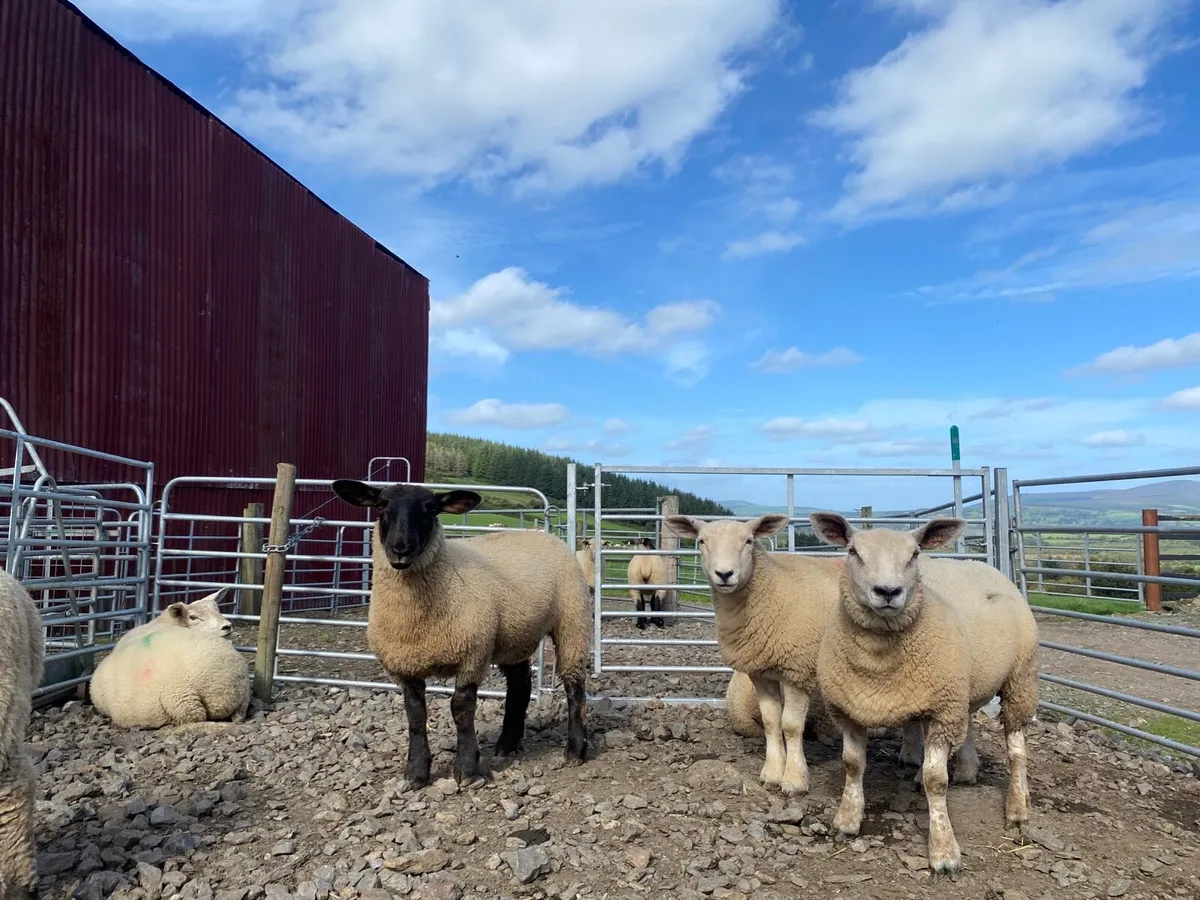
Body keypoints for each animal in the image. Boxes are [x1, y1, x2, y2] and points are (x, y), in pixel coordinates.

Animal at [331, 479, 591, 787]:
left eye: (430, 509)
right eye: (382, 505)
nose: (400, 548)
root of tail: (545, 535)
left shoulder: (472, 654)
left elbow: (461, 710)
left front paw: (466, 769)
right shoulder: (405, 665)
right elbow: (415, 716)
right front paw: (416, 772)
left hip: (572, 619)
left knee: (574, 685)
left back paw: (575, 749)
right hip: (514, 634)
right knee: (520, 685)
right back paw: (507, 743)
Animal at [663, 514, 845, 794]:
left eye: (749, 540)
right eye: (702, 541)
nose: (724, 574)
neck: (773, 589)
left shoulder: (797, 667)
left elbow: (791, 726)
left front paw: (794, 779)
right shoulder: (761, 672)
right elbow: (771, 721)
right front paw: (772, 773)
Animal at [809, 512, 1039, 877]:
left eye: (914, 554)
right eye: (853, 551)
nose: (888, 591)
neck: (879, 662)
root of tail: (977, 563)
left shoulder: (942, 709)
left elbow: (936, 781)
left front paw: (943, 851)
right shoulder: (848, 709)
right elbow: (852, 765)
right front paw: (847, 820)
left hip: (1019, 678)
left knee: (1016, 748)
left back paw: (1017, 808)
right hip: (961, 686)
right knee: (968, 723)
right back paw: (966, 770)